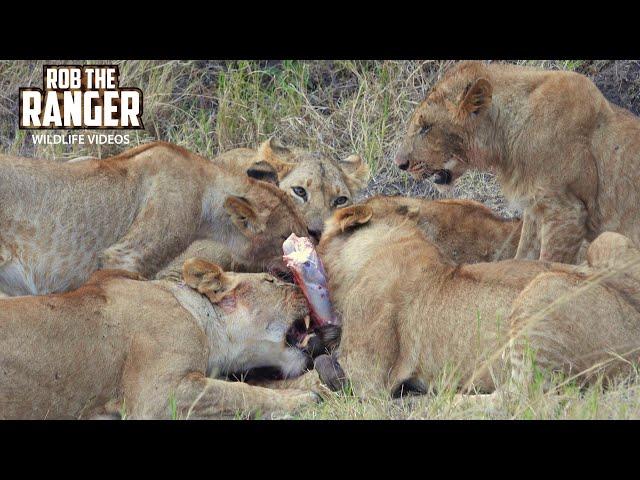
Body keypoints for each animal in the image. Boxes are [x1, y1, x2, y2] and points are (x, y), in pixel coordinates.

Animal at [0, 258, 320, 420]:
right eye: (271, 282)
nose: (304, 291)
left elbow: (250, 384)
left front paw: (312, 383)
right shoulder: (158, 396)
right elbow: (238, 392)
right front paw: (301, 399)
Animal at [396, 60, 640, 264]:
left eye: (426, 127)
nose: (399, 164)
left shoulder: (567, 213)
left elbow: (546, 265)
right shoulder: (534, 209)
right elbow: (523, 258)